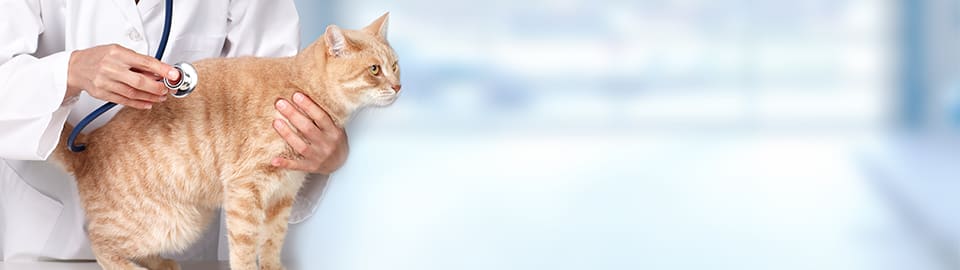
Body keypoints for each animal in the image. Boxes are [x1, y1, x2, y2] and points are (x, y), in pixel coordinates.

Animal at [51, 13, 398, 270]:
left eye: (394, 65)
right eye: (374, 70)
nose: (398, 86)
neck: (302, 88)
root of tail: (89, 144)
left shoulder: (283, 194)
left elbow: (272, 240)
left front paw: (273, 266)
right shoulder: (246, 189)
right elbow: (245, 246)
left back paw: (162, 263)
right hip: (170, 221)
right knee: (100, 241)